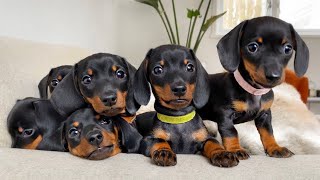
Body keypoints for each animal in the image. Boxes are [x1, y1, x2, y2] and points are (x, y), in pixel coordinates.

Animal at [199, 16, 308, 159]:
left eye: (288, 48)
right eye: (252, 47)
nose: (274, 76)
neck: (254, 91)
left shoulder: (265, 115)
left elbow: (268, 133)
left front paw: (275, 148)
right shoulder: (225, 114)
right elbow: (231, 132)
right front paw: (236, 149)